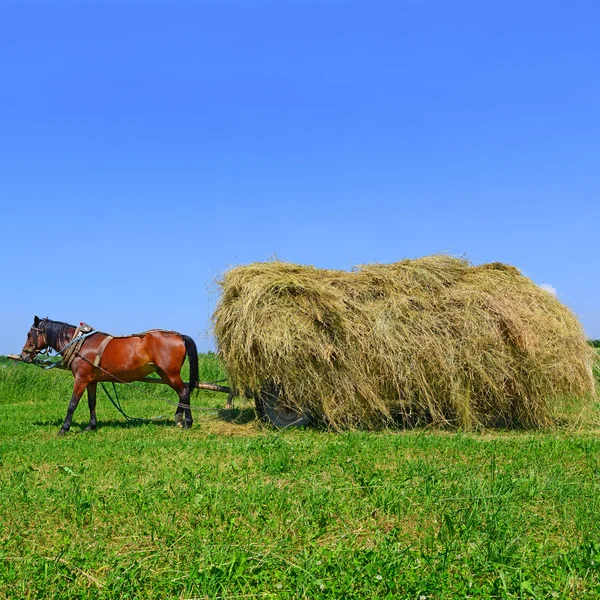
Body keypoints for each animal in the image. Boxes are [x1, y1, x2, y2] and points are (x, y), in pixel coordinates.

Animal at [20, 316, 199, 434]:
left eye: (29, 334)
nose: (24, 356)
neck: (80, 345)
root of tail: (179, 336)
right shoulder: (91, 381)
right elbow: (92, 403)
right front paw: (91, 426)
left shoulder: (81, 379)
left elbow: (72, 404)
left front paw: (64, 429)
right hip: (164, 374)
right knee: (182, 393)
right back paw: (179, 419)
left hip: (170, 373)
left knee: (184, 392)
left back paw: (187, 422)